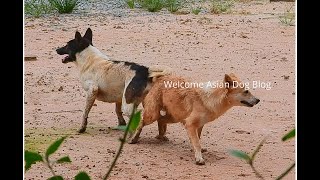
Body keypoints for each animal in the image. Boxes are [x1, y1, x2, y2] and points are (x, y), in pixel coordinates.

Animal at [129, 73, 260, 165]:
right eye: (246, 91)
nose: (258, 100)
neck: (211, 99)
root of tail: (160, 78)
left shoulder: (198, 126)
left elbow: (198, 140)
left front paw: (198, 152)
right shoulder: (190, 125)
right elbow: (196, 143)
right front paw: (199, 158)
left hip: (175, 117)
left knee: (161, 120)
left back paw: (161, 136)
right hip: (152, 115)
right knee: (142, 121)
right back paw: (134, 138)